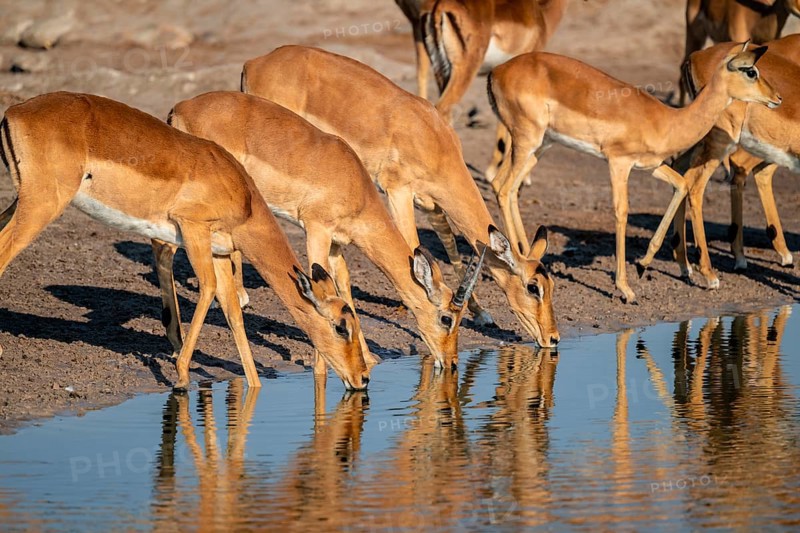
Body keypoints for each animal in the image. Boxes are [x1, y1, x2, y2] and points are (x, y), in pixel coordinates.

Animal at [0, 92, 370, 391]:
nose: (363, 378)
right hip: (42, 205)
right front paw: (180, 377)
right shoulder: (193, 230)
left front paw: (253, 386)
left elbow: (233, 311)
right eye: (341, 327)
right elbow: (207, 289)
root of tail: (15, 112)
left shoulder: (220, 251)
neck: (243, 197)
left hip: (21, 200)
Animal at [164, 91, 484, 369]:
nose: (452, 362)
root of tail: (181, 107)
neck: (354, 185)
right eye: (447, 319)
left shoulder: (337, 244)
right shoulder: (317, 230)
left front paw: (369, 358)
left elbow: (344, 288)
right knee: (165, 250)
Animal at [242, 45, 560, 349]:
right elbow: (412, 242)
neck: (434, 140)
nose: (553, 338)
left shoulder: (431, 204)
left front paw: (481, 314)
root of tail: (254, 63)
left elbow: (451, 247)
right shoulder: (398, 192)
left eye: (552, 285)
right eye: (533, 287)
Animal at [486, 44, 781, 303]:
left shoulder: (651, 166)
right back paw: (519, 263)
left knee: (507, 187)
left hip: (541, 145)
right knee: (503, 187)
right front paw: (626, 289)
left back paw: (529, 256)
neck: (667, 121)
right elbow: (622, 212)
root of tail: (497, 72)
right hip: (528, 141)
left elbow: (681, 185)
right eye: (750, 70)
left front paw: (643, 264)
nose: (777, 98)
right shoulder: (618, 162)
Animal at [639, 37, 798, 286]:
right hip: (718, 144)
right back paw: (709, 272)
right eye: (751, 71)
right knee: (696, 185)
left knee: (680, 167)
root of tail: (695, 57)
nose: (778, 98)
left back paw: (685, 265)